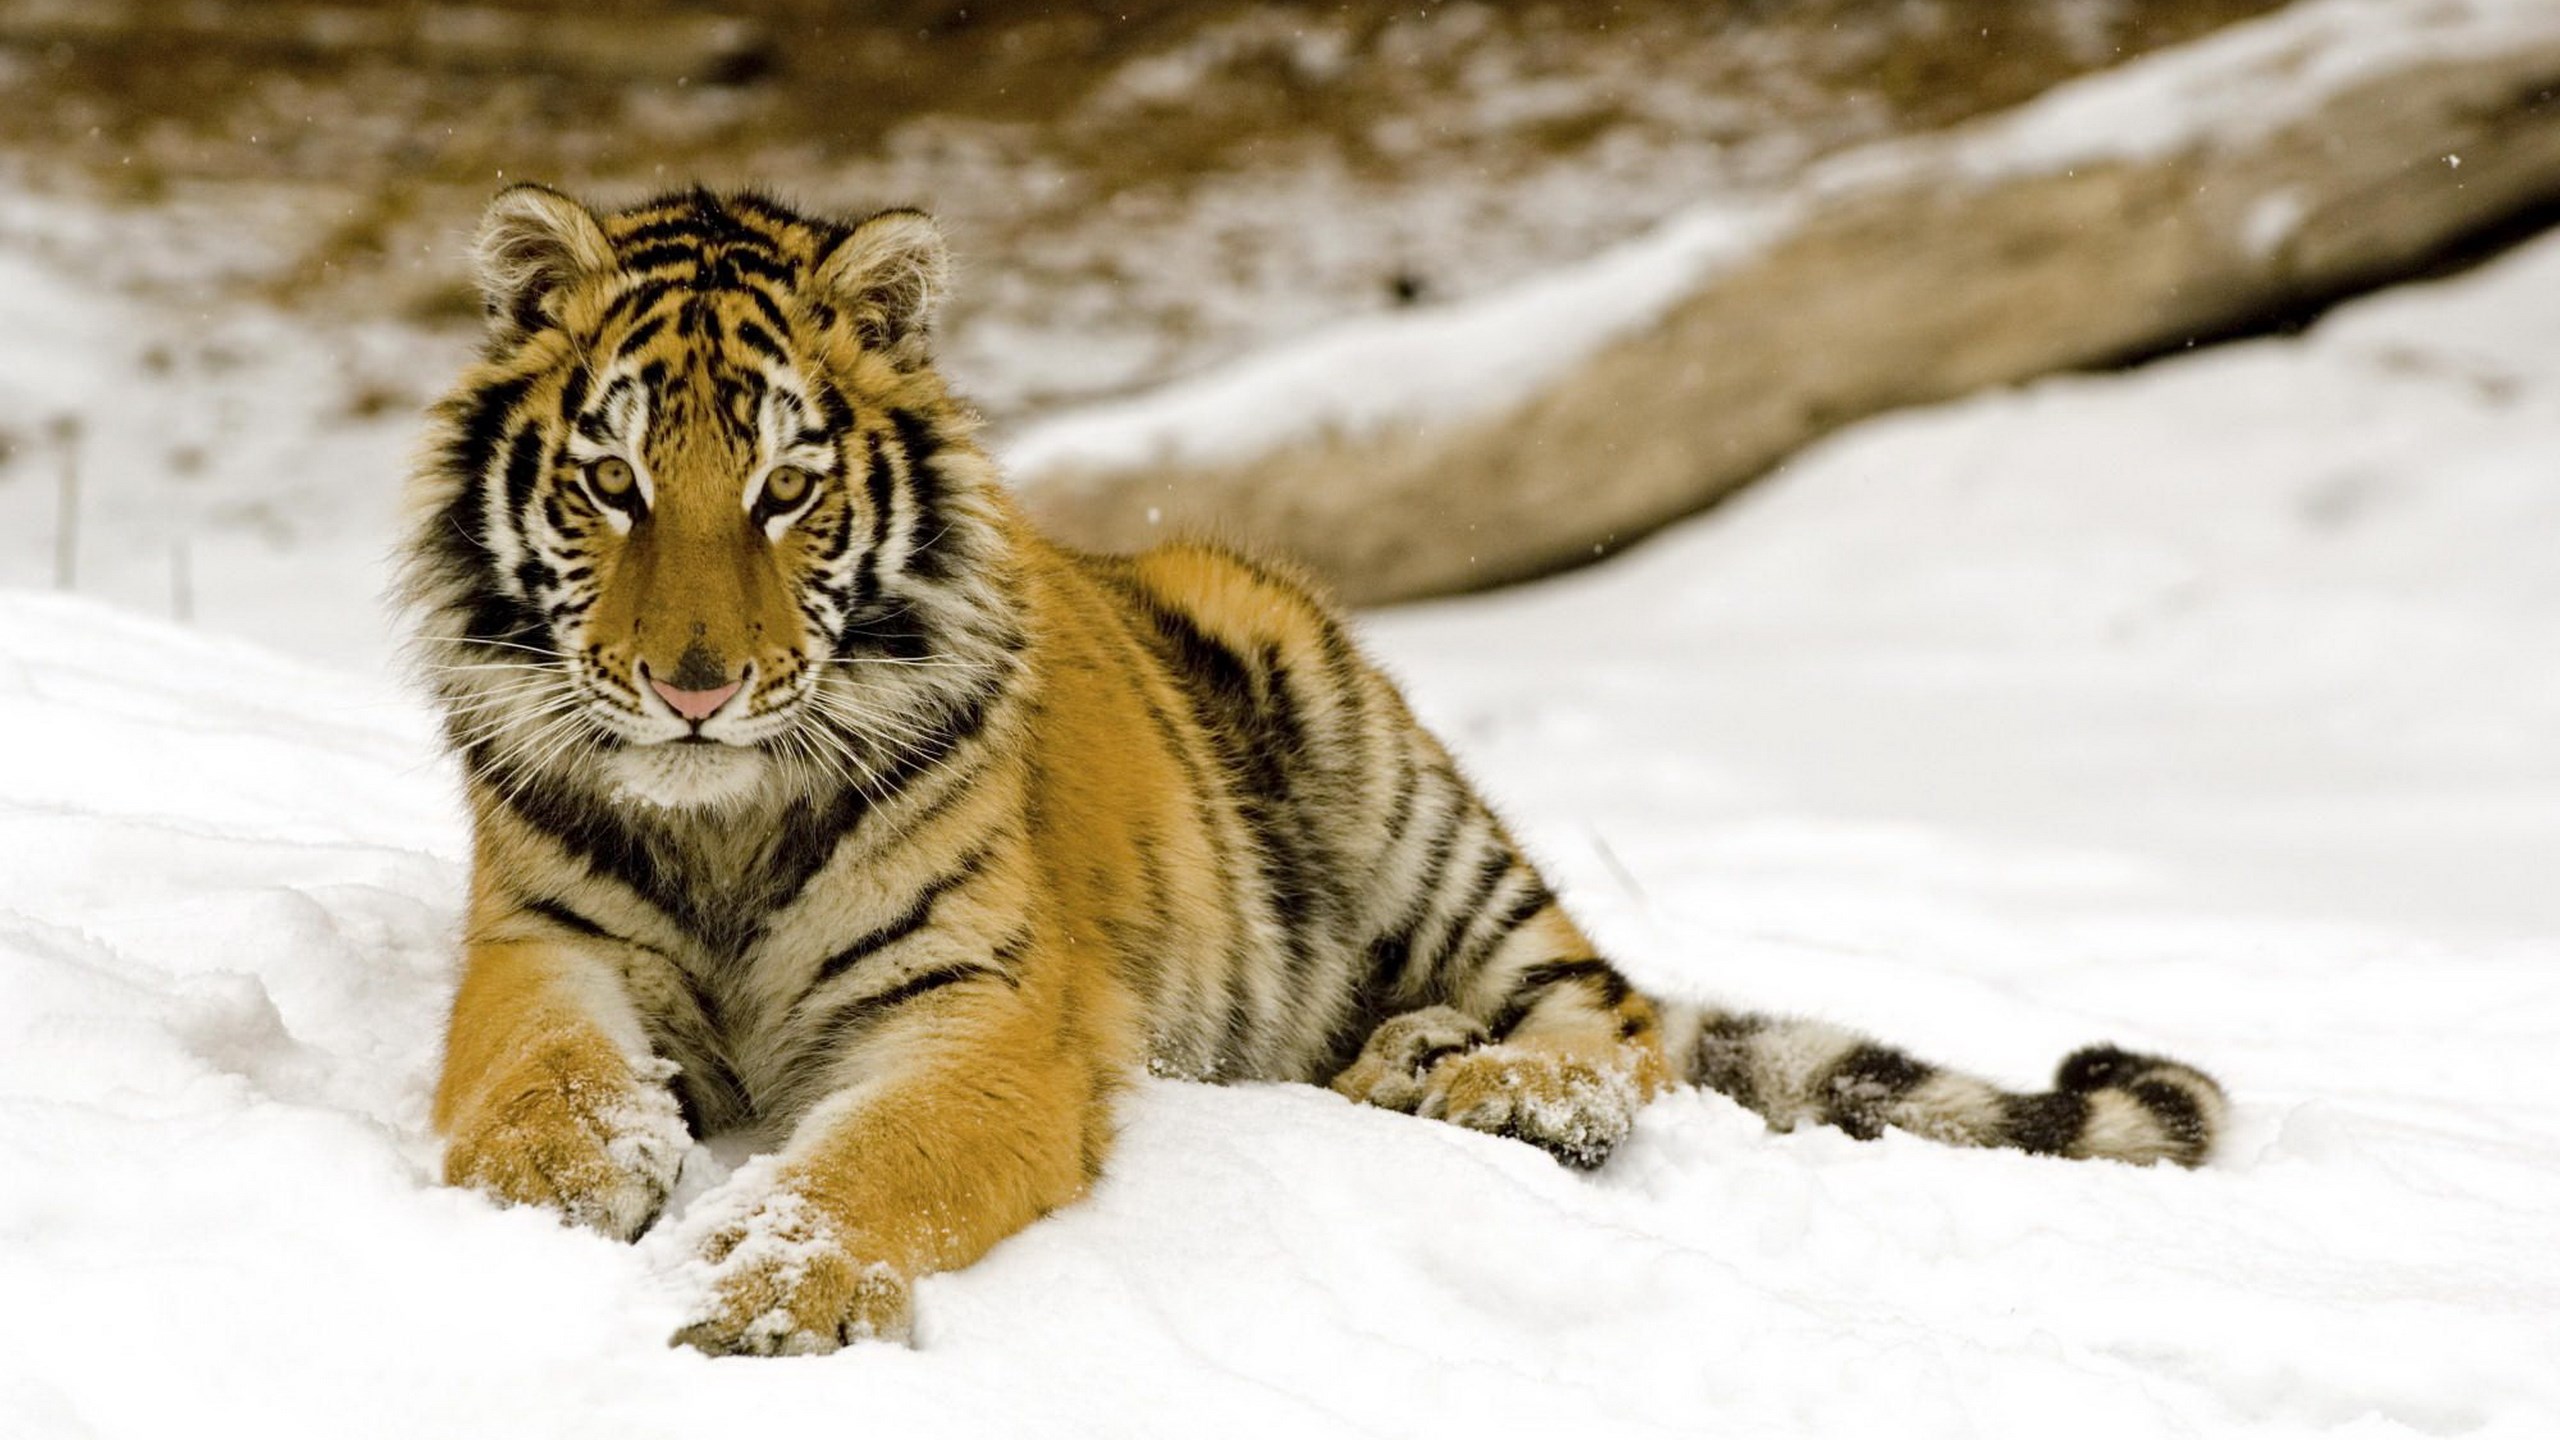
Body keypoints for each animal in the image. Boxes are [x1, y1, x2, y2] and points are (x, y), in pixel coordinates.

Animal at [404, 183, 2227, 1357]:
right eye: (614, 484)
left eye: (786, 489)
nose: (694, 687)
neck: (723, 818)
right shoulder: (542, 942)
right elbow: (534, 1072)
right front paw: (553, 1186)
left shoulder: (986, 1014)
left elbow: (874, 1161)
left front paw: (771, 1291)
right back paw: (1411, 1060)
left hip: (1381, 763)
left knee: (1615, 1018)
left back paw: (1504, 1086)